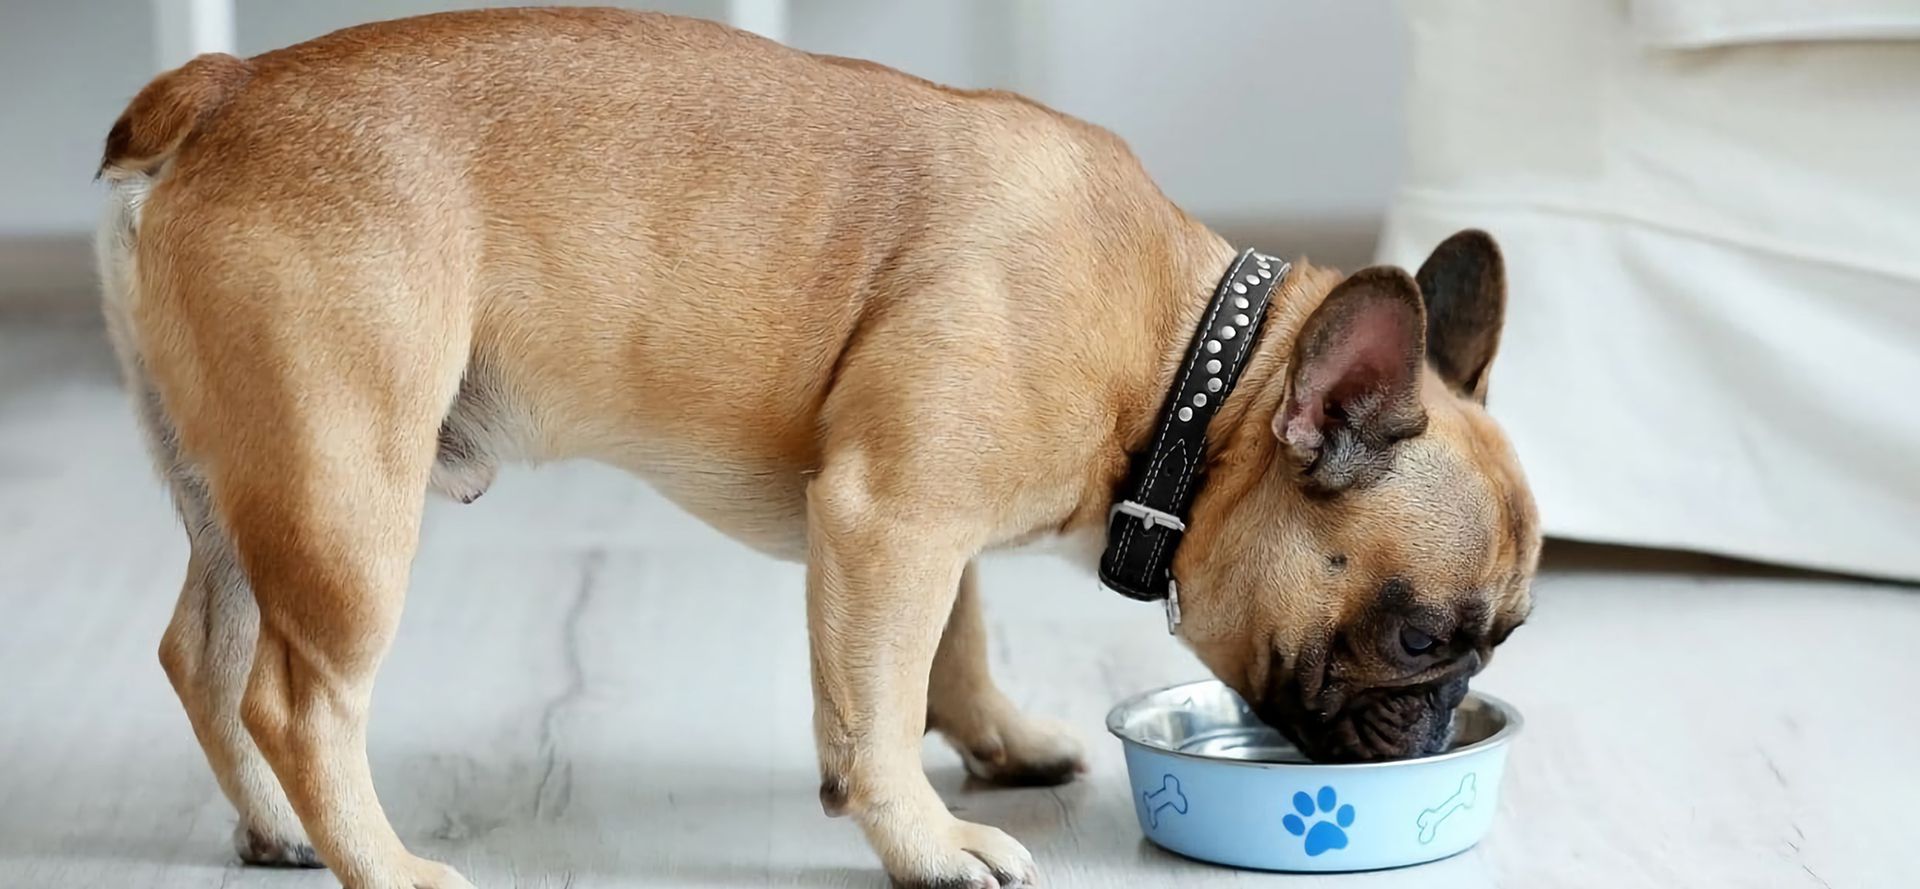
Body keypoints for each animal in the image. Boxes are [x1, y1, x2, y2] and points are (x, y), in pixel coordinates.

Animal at [93, 8, 1543, 889]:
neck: (1193, 370)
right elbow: (882, 702)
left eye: (1502, 639)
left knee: (202, 653)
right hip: (343, 482)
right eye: (1424, 635)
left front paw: (998, 742)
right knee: (297, 698)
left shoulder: (926, 527)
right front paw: (928, 838)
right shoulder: (892, 517)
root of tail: (215, 91)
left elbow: (951, 644)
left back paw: (278, 827)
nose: (1434, 725)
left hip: (236, 477)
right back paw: (383, 864)